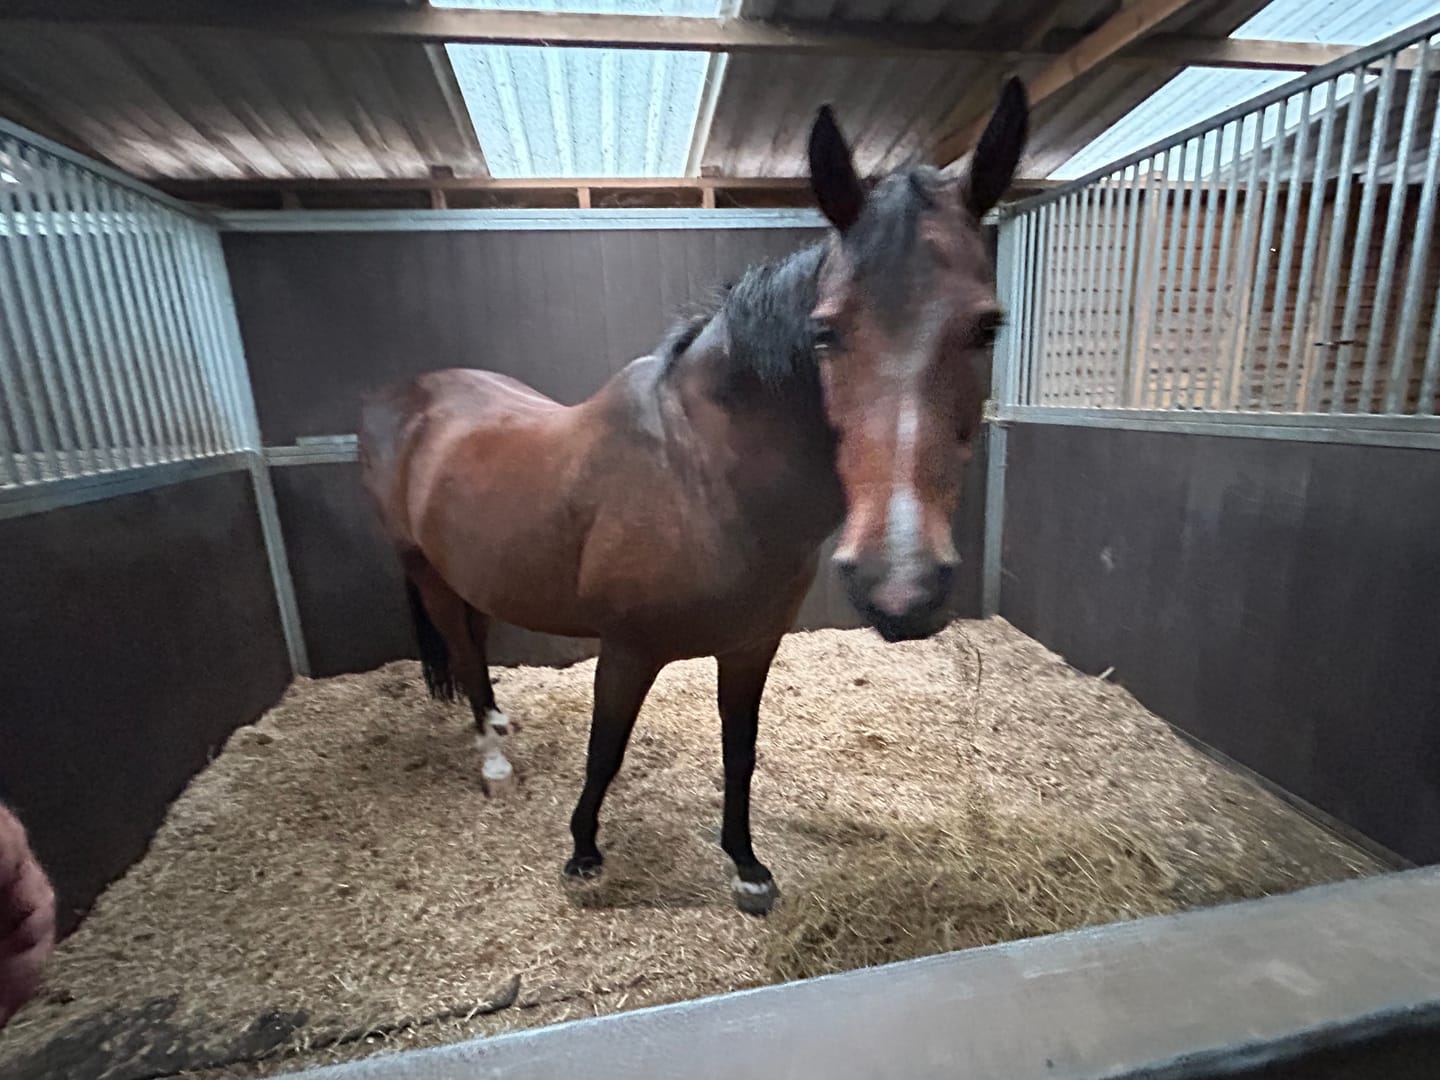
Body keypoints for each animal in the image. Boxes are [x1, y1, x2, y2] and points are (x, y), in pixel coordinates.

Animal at [359, 80, 1028, 915]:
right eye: (825, 332)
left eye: (987, 327)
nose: (899, 587)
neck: (704, 476)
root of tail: (406, 397)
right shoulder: (627, 650)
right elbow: (605, 753)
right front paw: (583, 854)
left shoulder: (750, 647)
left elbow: (740, 753)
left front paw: (746, 865)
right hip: (426, 573)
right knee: (461, 650)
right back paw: (492, 761)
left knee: (475, 648)